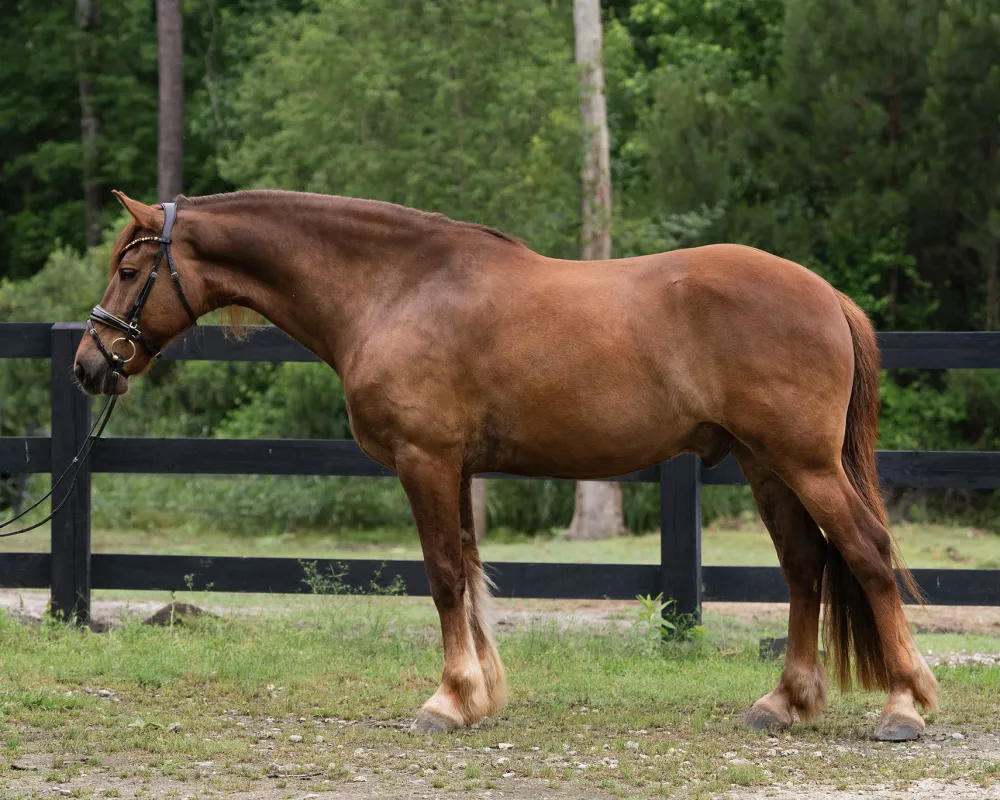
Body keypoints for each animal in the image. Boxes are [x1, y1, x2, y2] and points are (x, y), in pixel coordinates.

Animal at [76, 191, 936, 740]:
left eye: (130, 270)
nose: (90, 365)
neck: (398, 289)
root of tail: (826, 294)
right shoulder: (456, 469)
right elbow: (470, 570)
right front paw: (479, 697)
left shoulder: (424, 462)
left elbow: (443, 576)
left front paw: (448, 700)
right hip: (766, 466)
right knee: (805, 569)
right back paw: (783, 703)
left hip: (806, 464)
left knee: (866, 553)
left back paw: (904, 704)